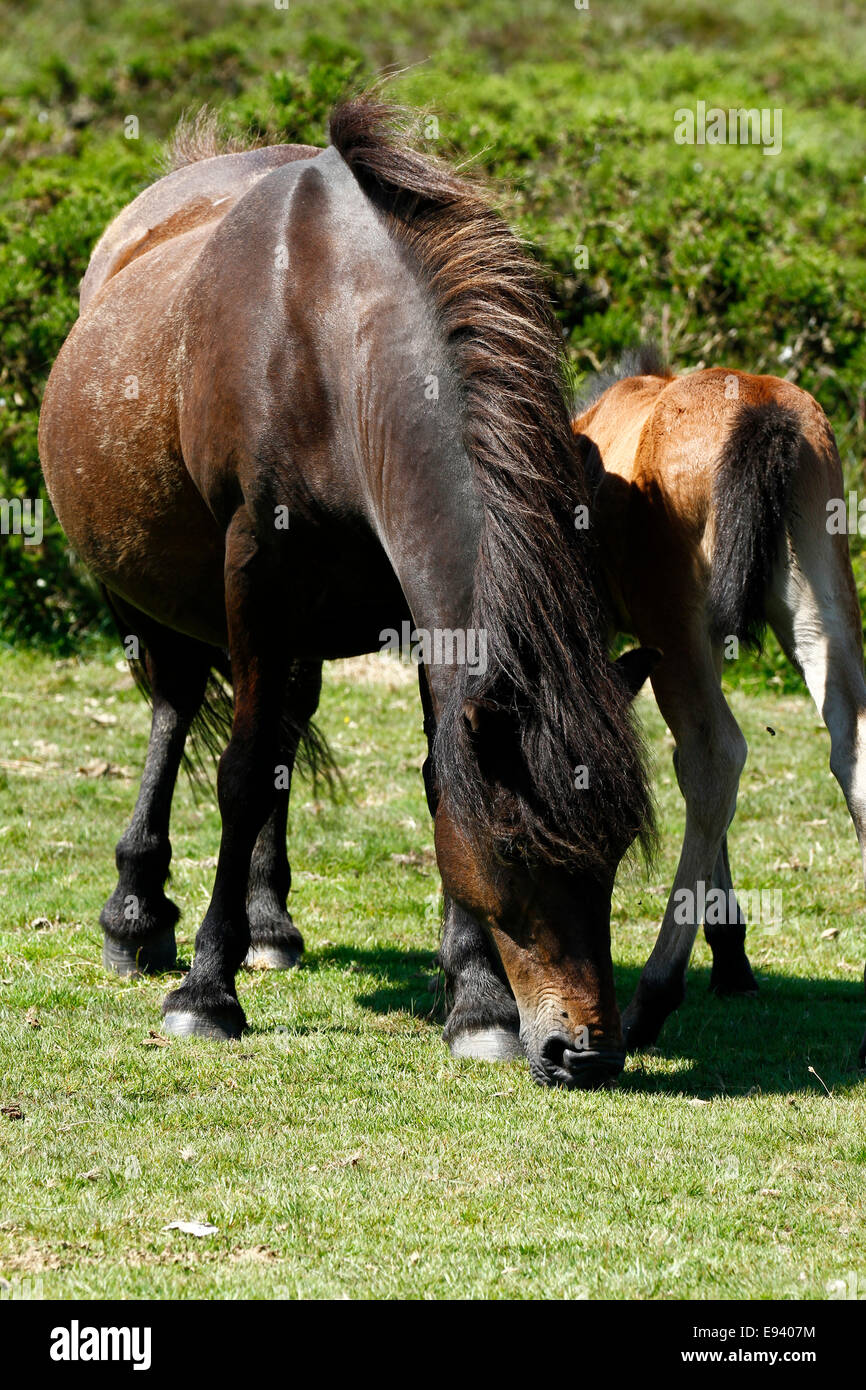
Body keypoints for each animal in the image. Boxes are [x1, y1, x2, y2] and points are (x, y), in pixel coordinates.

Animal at [37, 102, 653, 1089]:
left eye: (618, 848)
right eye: (516, 847)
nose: (586, 1051)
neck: (331, 340)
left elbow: (439, 778)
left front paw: (477, 1003)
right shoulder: (255, 568)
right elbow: (243, 773)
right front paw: (205, 995)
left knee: (283, 721)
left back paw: (268, 923)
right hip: (150, 595)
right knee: (177, 709)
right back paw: (138, 915)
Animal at [561, 350, 866, 1061]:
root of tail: (764, 412)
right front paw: (731, 953)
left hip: (676, 623)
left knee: (713, 756)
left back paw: (652, 997)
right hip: (818, 598)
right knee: (849, 746)